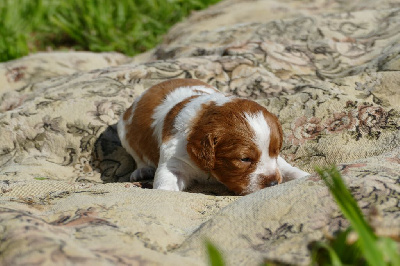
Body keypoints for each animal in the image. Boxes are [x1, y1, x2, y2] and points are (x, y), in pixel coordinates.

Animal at [117, 78, 308, 194]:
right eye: (244, 159)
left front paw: (304, 177)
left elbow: (285, 167)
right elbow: (167, 180)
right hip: (123, 131)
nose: (273, 184)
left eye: (275, 152)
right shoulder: (174, 161)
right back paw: (142, 170)